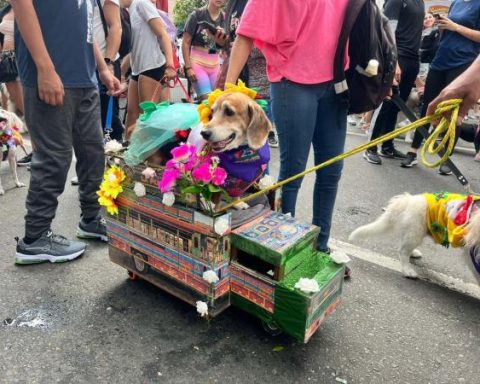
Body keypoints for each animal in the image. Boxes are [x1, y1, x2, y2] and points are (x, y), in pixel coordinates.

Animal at [348, 190, 480, 284]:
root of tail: (408, 200)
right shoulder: (472, 253)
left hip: (412, 232)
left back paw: (413, 253)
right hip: (415, 232)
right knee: (402, 252)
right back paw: (408, 270)